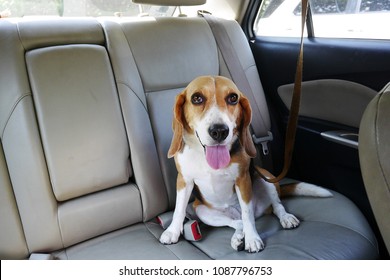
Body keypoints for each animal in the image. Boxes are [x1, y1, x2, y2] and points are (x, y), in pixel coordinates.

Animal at [159, 76, 332, 252]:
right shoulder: (184, 181)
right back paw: (238, 237)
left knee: (275, 207)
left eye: (233, 98)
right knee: (237, 222)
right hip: (202, 210)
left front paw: (252, 239)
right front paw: (172, 231)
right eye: (196, 98)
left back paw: (285, 218)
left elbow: (247, 214)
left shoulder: (242, 179)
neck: (204, 156)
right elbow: (179, 209)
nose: (220, 131)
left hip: (264, 177)